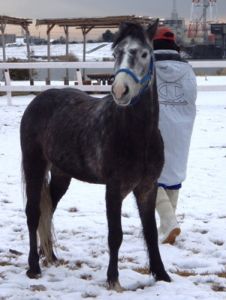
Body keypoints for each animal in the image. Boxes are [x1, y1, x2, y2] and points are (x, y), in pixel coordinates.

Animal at [20, 18, 170, 290]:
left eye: (144, 53)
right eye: (116, 53)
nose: (120, 91)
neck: (138, 135)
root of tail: (38, 100)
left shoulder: (148, 187)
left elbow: (151, 232)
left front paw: (162, 275)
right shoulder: (114, 188)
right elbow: (115, 235)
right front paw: (113, 279)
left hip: (61, 175)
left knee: (48, 211)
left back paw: (50, 256)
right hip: (34, 165)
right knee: (33, 213)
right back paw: (34, 267)